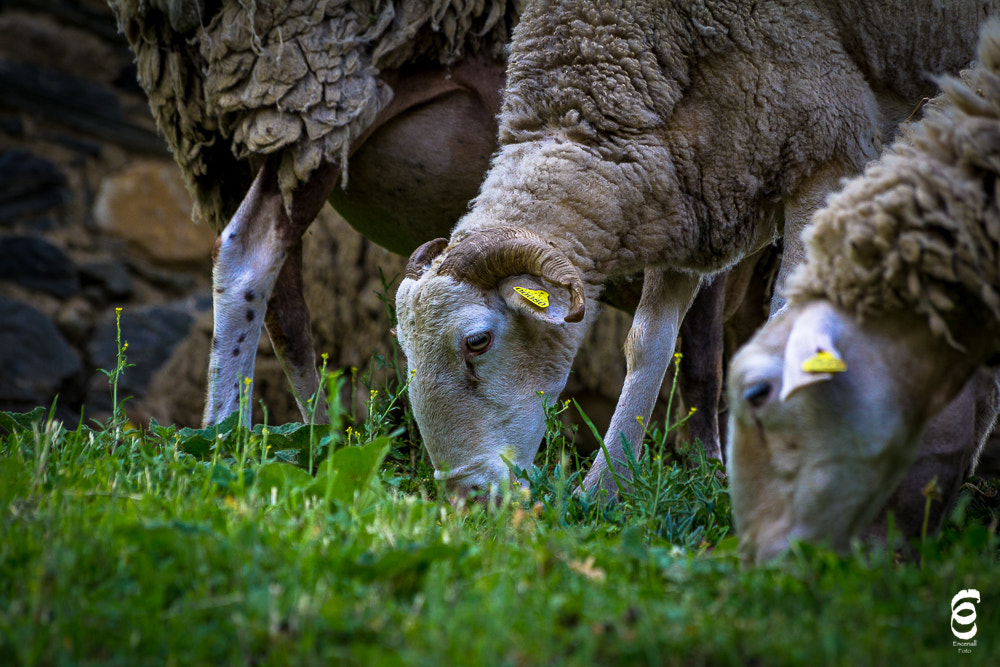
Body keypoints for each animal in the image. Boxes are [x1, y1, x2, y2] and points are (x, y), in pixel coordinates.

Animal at [108, 0, 520, 426]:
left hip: (223, 134)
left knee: (282, 300)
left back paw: (316, 432)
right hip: (322, 89)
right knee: (249, 256)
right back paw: (227, 428)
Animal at [394, 0, 997, 496]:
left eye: (476, 341)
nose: (465, 496)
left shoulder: (827, 148)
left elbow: (785, 321)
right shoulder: (687, 185)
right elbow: (648, 345)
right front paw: (602, 490)